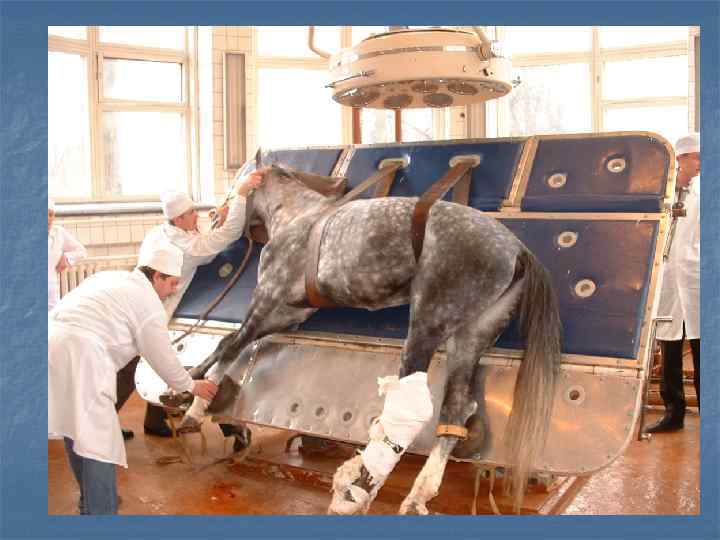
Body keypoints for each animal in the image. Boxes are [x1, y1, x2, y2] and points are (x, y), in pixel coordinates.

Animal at [182, 163, 562, 515]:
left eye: (238, 180)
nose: (213, 217)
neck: (298, 215)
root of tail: (516, 250)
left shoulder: (267, 299)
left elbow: (232, 345)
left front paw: (195, 405)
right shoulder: (288, 315)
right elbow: (231, 343)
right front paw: (195, 387)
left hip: (429, 322)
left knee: (411, 405)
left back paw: (356, 488)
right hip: (471, 335)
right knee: (456, 409)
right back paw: (415, 497)